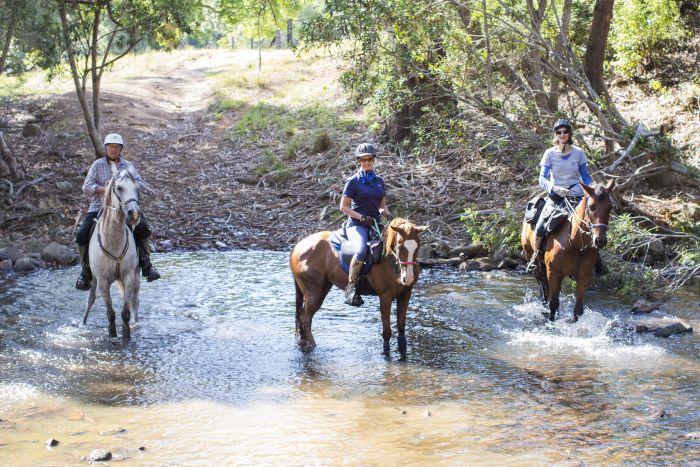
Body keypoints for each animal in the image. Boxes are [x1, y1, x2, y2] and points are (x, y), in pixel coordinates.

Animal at [82, 168, 142, 340]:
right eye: (119, 188)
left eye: (137, 189)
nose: (134, 214)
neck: (113, 240)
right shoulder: (102, 282)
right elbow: (110, 313)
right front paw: (113, 334)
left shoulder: (128, 277)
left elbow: (125, 313)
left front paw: (126, 335)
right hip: (93, 279)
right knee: (90, 300)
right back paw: (83, 323)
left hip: (137, 275)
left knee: (135, 300)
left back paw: (136, 323)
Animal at [288, 218, 426, 352]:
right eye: (400, 246)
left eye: (418, 246)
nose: (408, 278)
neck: (389, 260)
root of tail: (297, 247)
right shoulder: (385, 297)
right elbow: (387, 333)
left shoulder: (405, 295)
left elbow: (401, 329)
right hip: (313, 293)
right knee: (305, 319)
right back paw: (312, 346)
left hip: (322, 290)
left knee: (305, 319)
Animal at [520, 181, 612, 324]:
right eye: (591, 206)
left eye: (610, 207)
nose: (600, 240)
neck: (575, 243)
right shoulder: (554, 272)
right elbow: (553, 303)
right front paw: (551, 323)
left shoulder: (583, 276)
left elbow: (578, 309)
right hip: (534, 259)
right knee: (543, 287)